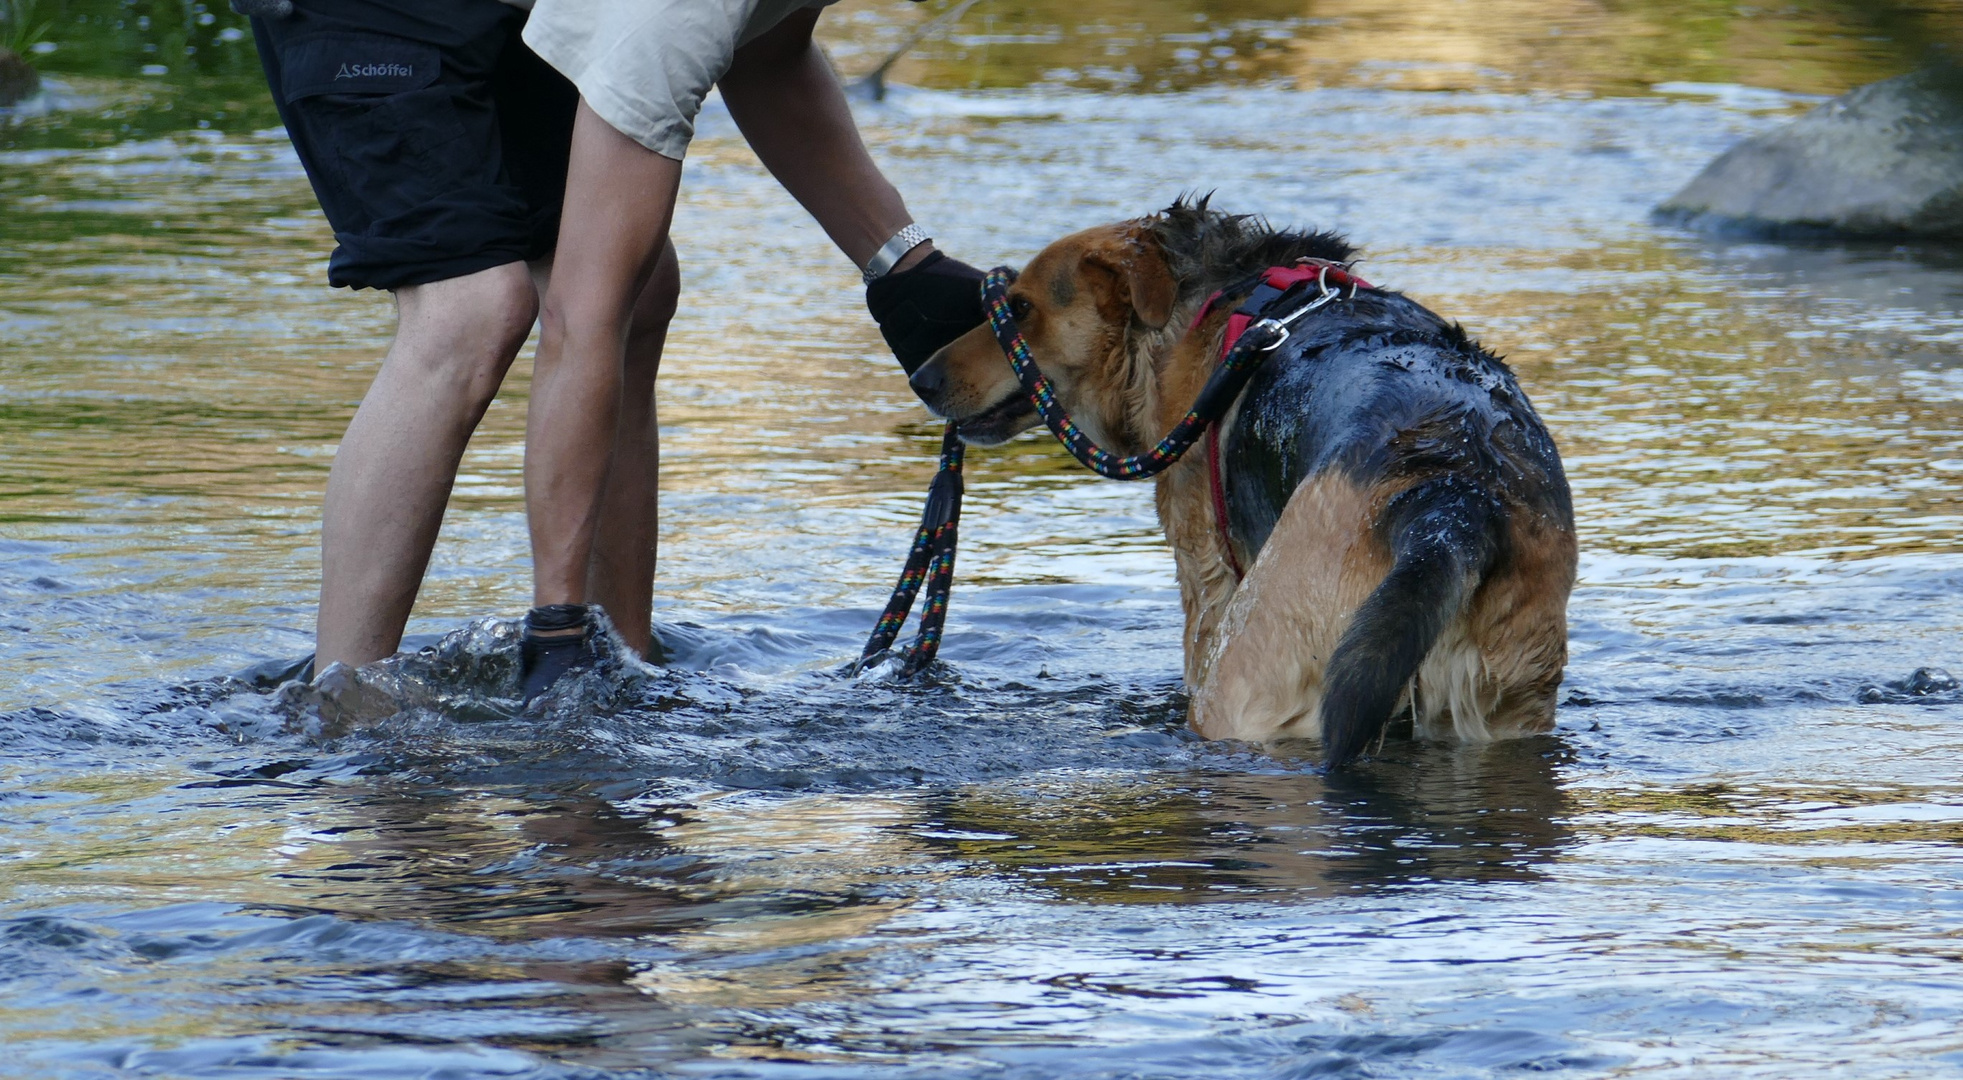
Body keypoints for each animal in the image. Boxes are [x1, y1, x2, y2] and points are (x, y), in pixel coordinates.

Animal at [906, 199, 1578, 765]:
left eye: (1019, 308)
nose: (920, 378)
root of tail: (1449, 499)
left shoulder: (1205, 580)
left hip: (1247, 679)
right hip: (1506, 703)